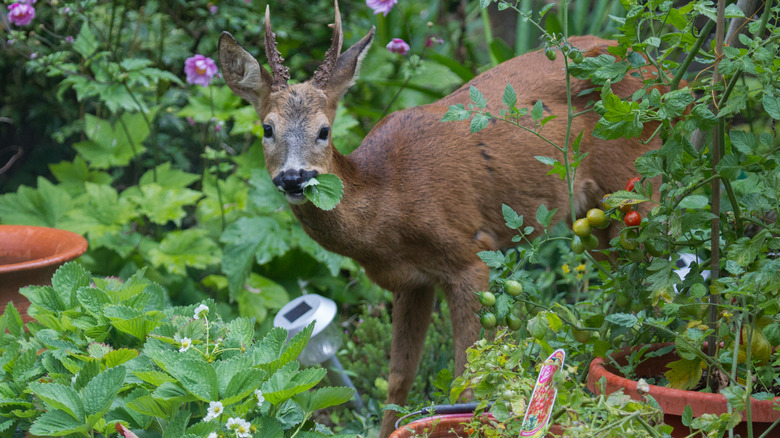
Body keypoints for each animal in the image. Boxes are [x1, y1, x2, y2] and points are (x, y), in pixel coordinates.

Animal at [219, 1, 664, 436]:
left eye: (324, 130)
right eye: (267, 128)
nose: (294, 177)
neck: (389, 202)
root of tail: (651, 65)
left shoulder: (470, 256)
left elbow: (467, 375)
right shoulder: (409, 281)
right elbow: (398, 377)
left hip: (638, 180)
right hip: (593, 216)